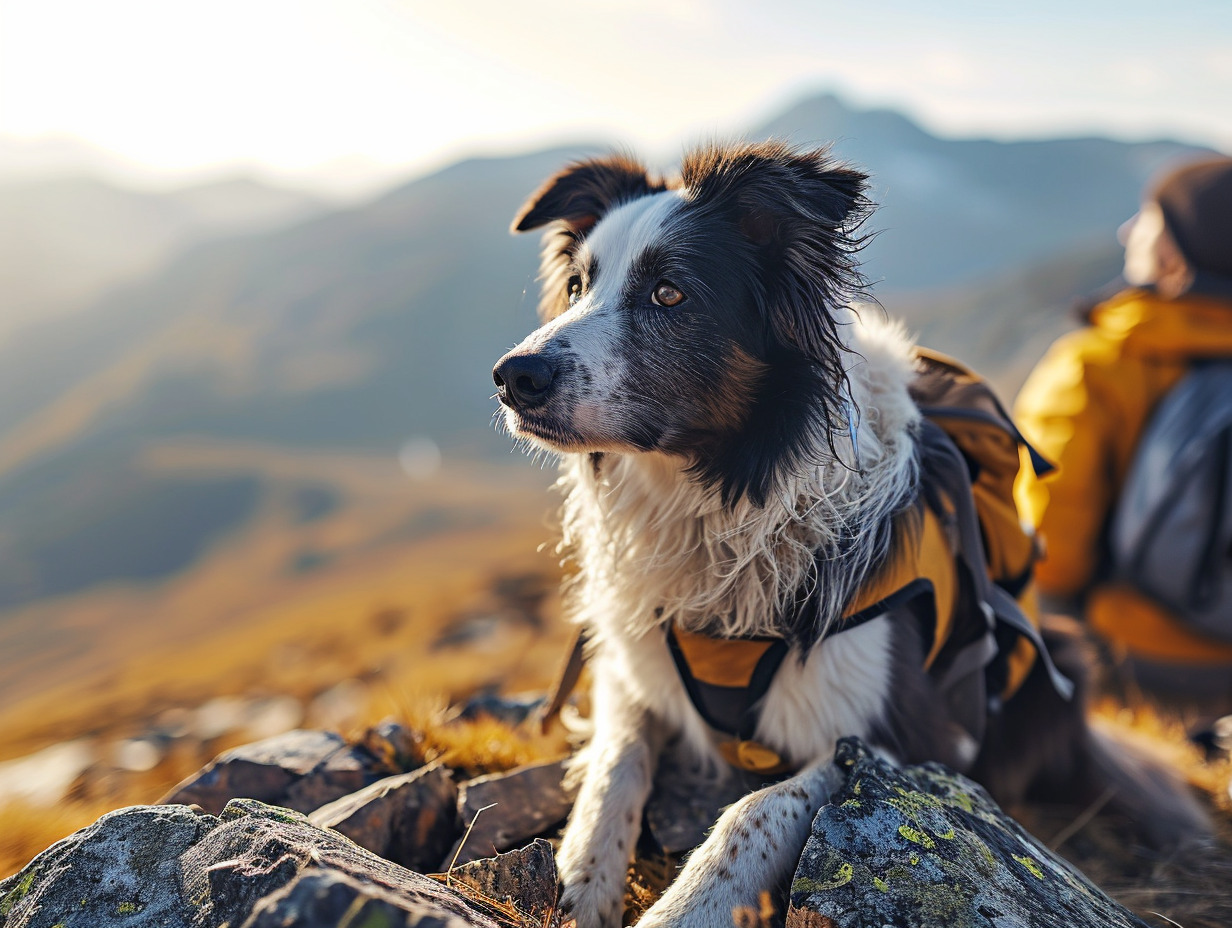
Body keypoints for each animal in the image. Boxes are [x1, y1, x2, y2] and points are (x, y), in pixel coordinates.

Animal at [487, 142, 1202, 926]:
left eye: (669, 294)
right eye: (577, 285)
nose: (513, 376)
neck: (721, 502)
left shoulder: (918, 742)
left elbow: (757, 810)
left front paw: (683, 908)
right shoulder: (635, 661)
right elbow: (616, 761)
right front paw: (582, 874)